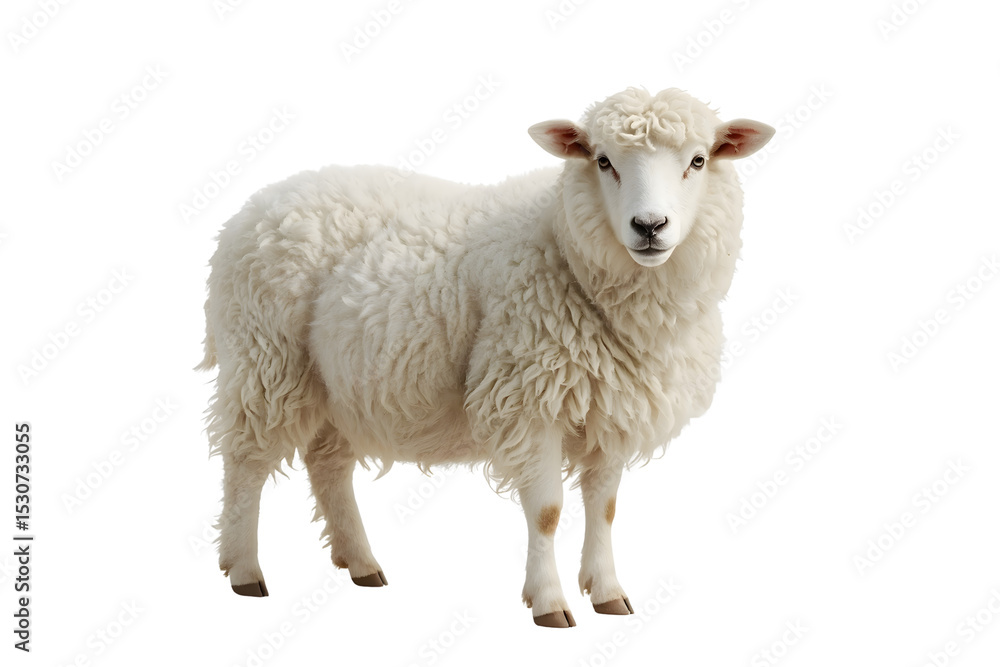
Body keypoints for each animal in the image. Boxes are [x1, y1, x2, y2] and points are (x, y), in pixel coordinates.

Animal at [200, 86, 773, 628]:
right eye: (602, 160)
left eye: (698, 160)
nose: (649, 226)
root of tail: (253, 207)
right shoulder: (529, 400)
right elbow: (547, 513)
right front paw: (549, 603)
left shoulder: (611, 408)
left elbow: (605, 508)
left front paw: (608, 593)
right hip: (266, 359)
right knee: (245, 462)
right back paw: (245, 569)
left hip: (339, 382)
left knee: (328, 464)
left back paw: (361, 561)